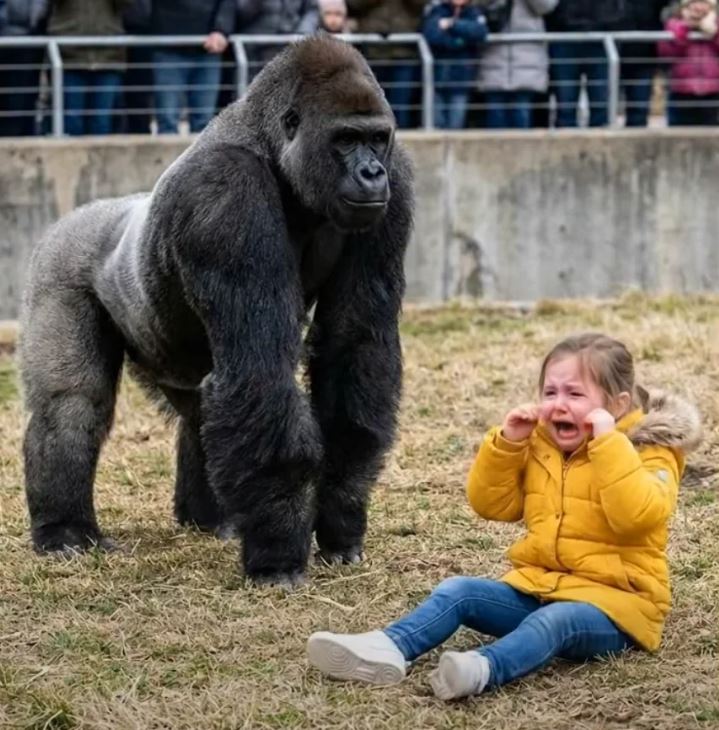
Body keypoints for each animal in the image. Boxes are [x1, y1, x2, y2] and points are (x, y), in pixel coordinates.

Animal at [19, 35, 414, 587]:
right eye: (345, 140)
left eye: (377, 140)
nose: (371, 172)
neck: (274, 152)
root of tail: (76, 215)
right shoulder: (226, 195)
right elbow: (260, 366)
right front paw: (278, 551)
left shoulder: (396, 187)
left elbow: (353, 345)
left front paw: (340, 515)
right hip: (58, 265)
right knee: (72, 401)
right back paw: (66, 531)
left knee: (202, 405)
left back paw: (208, 518)